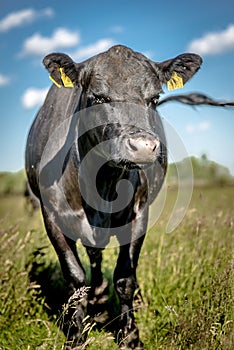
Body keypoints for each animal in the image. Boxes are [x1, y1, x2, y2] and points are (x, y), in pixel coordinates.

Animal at [25, 45, 230, 348]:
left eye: (154, 98)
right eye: (98, 97)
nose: (143, 146)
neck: (101, 184)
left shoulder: (138, 214)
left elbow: (125, 277)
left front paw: (130, 335)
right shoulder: (52, 218)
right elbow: (75, 278)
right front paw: (76, 335)